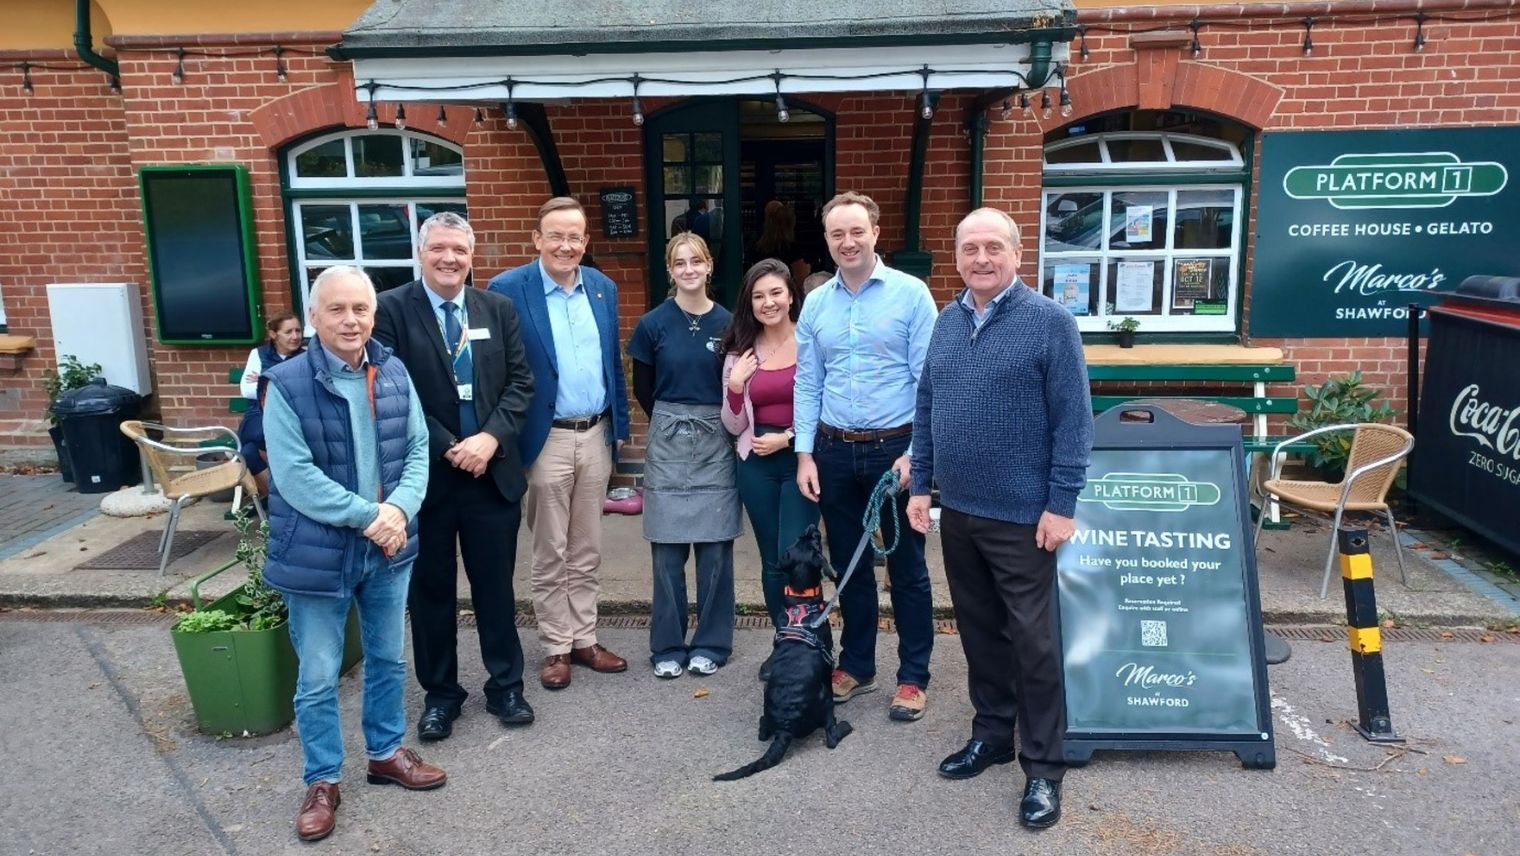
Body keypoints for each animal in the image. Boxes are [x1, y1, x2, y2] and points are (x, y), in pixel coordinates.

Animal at [714, 526, 851, 778]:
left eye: (798, 539)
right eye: (815, 542)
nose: (811, 527)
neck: (801, 596)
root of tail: (786, 728)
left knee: (762, 729)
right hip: (826, 704)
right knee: (831, 737)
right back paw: (844, 727)